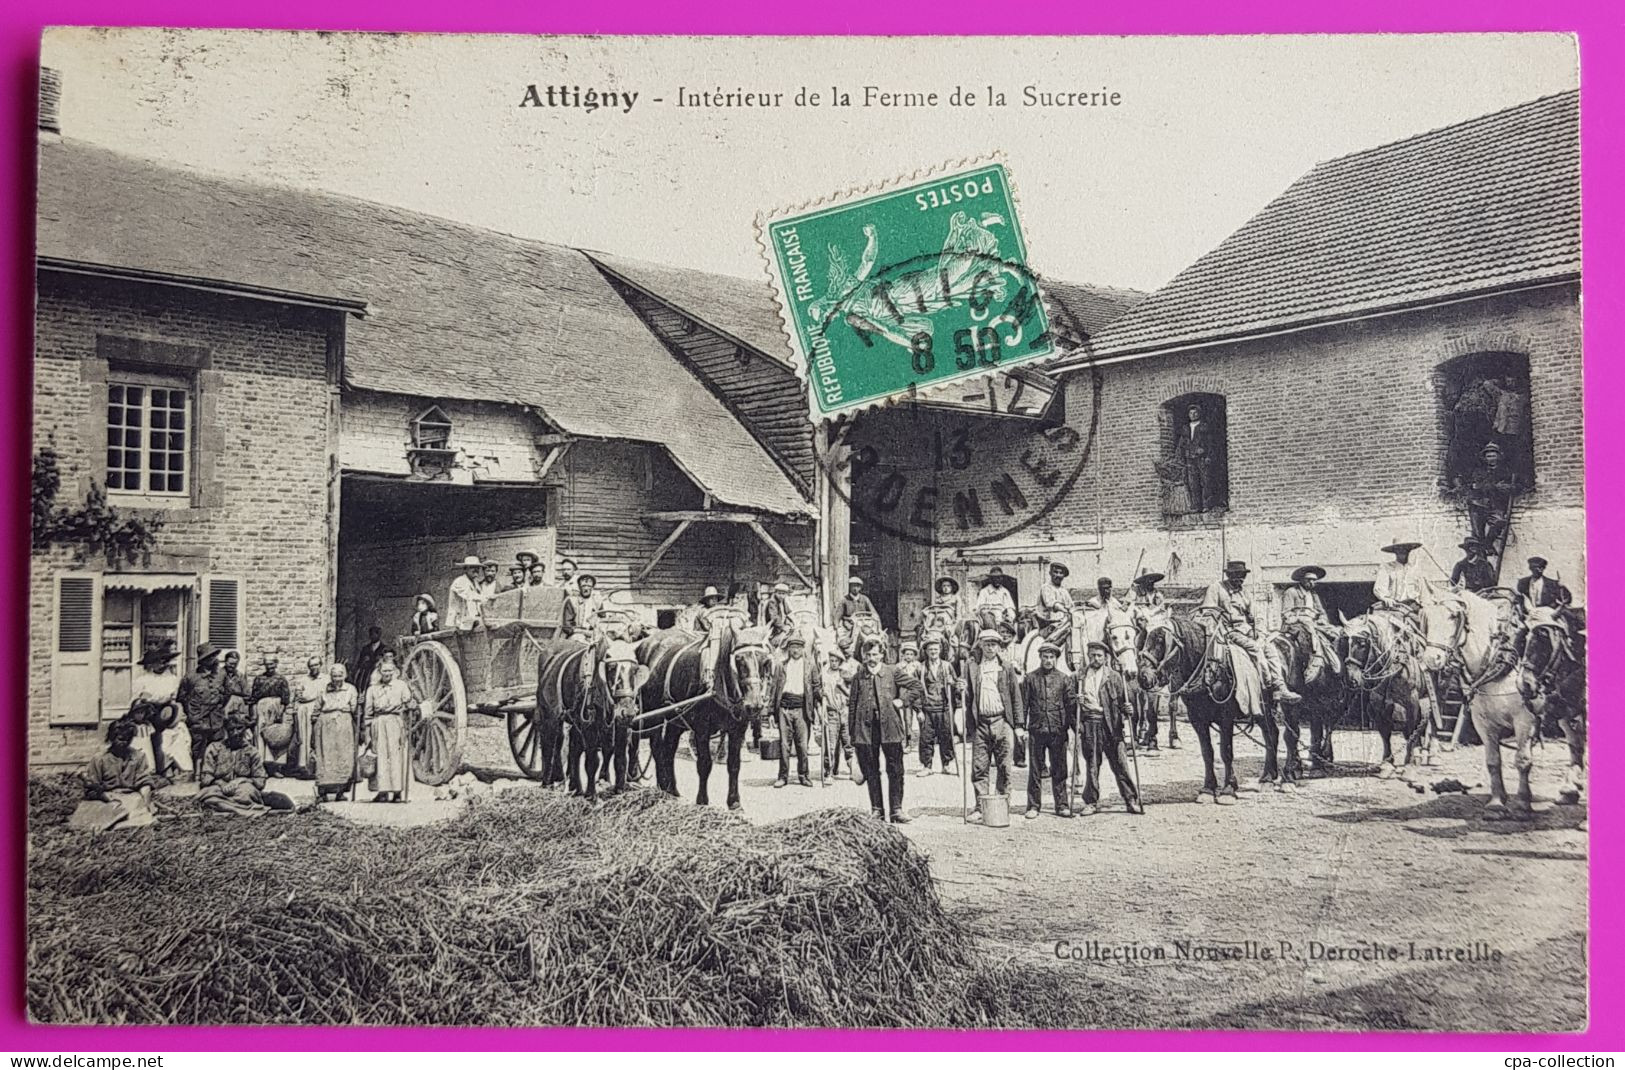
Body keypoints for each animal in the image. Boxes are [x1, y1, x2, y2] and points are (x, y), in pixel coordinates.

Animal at [633, 617, 773, 809]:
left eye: (765, 662)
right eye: (739, 660)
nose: (754, 705)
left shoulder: (738, 728)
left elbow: (734, 764)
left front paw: (734, 802)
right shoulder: (701, 728)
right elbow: (704, 764)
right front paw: (702, 801)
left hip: (674, 719)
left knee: (668, 749)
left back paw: (670, 789)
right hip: (650, 714)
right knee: (647, 744)